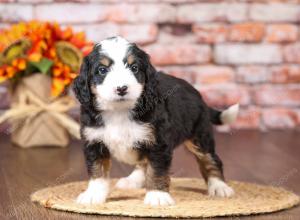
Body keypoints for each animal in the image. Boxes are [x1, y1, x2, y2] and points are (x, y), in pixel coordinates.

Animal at [73, 36, 239, 206]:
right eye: (102, 70)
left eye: (134, 68)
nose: (121, 88)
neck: (119, 111)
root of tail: (198, 95)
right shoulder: (94, 141)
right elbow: (97, 171)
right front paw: (93, 194)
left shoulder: (158, 142)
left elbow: (157, 169)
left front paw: (157, 195)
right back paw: (133, 180)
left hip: (200, 135)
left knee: (210, 159)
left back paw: (219, 186)